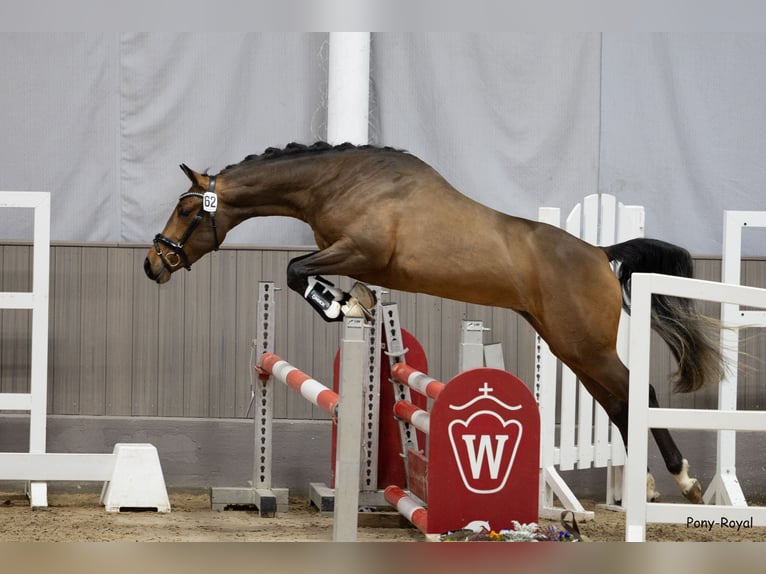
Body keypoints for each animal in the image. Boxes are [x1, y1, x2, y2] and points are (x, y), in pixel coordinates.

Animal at [144, 141, 724, 503]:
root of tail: (602, 254)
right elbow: (312, 274)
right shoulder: (352, 257)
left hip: (586, 347)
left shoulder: (358, 250)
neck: (342, 183)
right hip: (571, 348)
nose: (153, 264)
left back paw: (682, 483)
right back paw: (649, 486)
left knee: (639, 393)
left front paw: (341, 306)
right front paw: (356, 302)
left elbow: (295, 272)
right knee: (619, 403)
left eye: (185, 210)